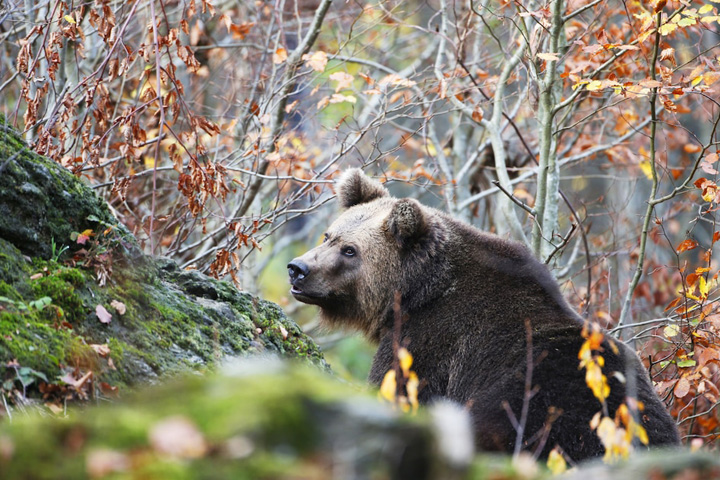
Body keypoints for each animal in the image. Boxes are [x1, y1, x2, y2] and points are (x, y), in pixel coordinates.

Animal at [286, 169, 680, 462]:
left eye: (350, 250)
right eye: (329, 235)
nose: (297, 268)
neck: (415, 293)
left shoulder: (428, 345)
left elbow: (397, 389)